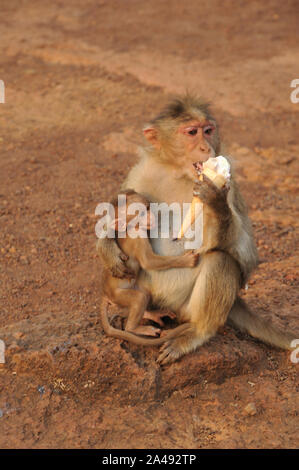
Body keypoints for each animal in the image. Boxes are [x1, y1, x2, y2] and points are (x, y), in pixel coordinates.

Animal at [100, 190, 199, 346]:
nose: (150, 216)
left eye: (147, 208)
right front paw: (186, 260)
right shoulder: (138, 237)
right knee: (139, 299)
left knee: (144, 295)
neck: (130, 228)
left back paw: (151, 314)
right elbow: (148, 262)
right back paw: (134, 328)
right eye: (140, 214)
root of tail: (105, 291)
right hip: (118, 295)